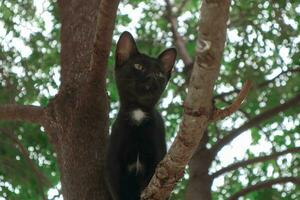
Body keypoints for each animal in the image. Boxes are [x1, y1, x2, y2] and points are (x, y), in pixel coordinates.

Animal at [105, 32, 176, 200]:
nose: (152, 76)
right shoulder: (113, 168)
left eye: (159, 73)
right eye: (138, 66)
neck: (138, 112)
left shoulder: (157, 161)